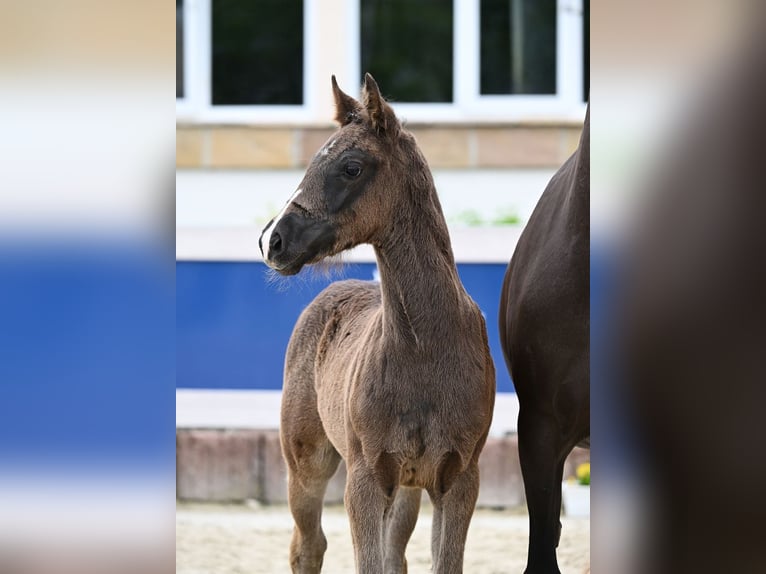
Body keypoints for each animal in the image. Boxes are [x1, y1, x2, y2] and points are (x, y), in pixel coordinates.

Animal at [260, 74, 498, 572]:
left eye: (351, 167)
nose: (273, 240)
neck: (423, 350)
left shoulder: (459, 478)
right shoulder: (365, 479)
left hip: (407, 488)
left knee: (394, 554)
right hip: (307, 462)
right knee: (307, 546)